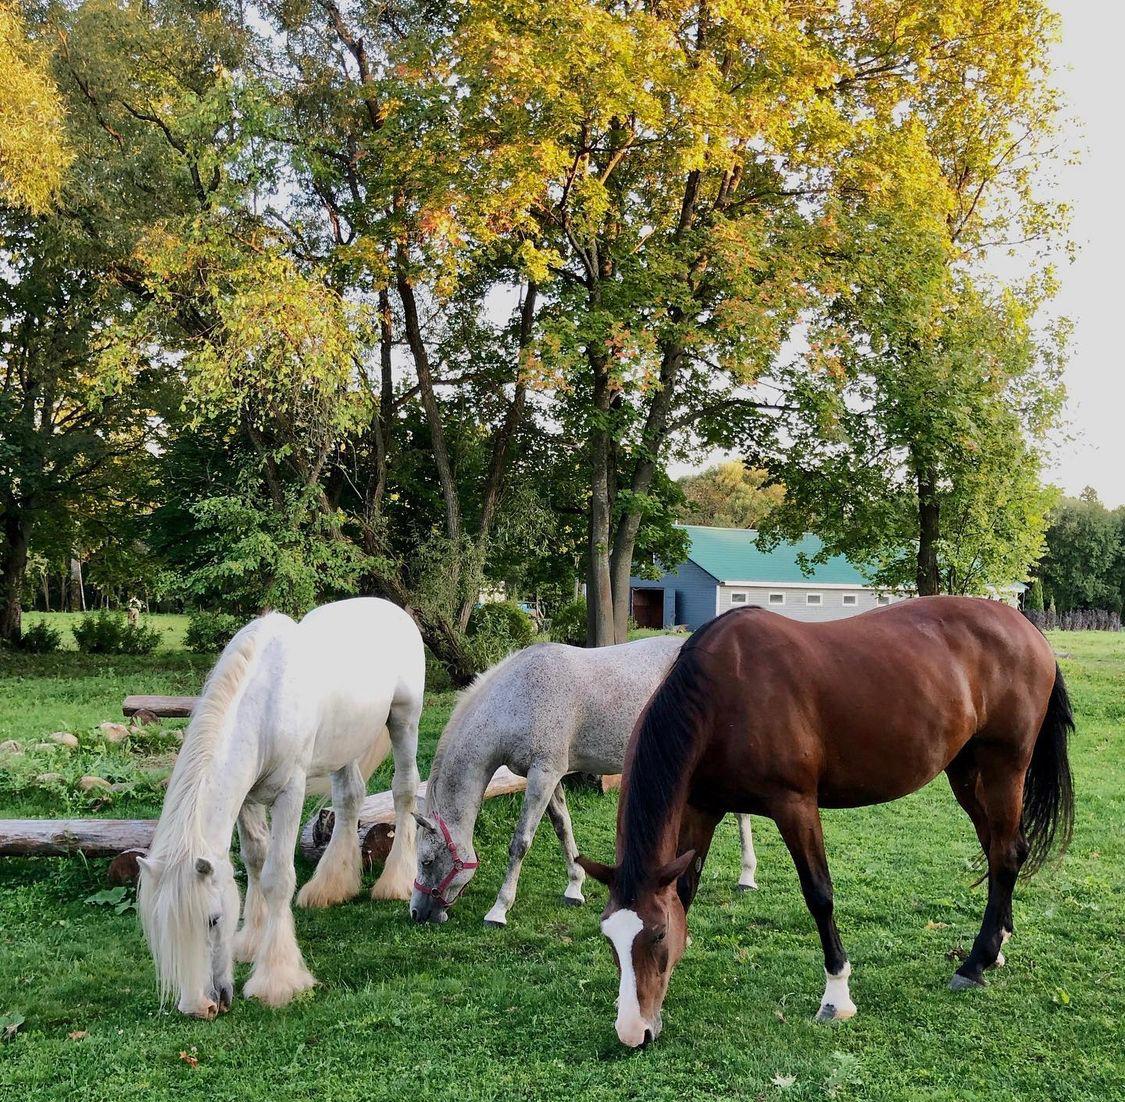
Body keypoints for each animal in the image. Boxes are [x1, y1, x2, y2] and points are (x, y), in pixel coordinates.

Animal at [136, 598, 423, 1021]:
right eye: (161, 928)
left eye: (213, 920)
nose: (199, 1007)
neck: (264, 705)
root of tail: (391, 608)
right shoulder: (247, 799)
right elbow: (255, 860)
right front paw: (252, 942)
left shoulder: (290, 792)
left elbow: (276, 878)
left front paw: (277, 979)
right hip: (343, 747)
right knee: (349, 799)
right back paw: (331, 886)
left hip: (404, 719)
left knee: (404, 793)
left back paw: (395, 881)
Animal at [409, 638, 760, 931]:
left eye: (427, 860)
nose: (416, 912)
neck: (519, 697)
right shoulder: (548, 776)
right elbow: (562, 827)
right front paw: (575, 887)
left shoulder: (543, 773)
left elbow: (520, 842)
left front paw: (499, 909)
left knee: (741, 814)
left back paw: (746, 876)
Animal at [576, 598, 1075, 1048]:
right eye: (608, 937)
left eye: (657, 934)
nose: (633, 1034)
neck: (725, 693)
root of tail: (1027, 629)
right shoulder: (701, 810)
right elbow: (685, 892)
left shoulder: (795, 806)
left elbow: (819, 895)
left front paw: (836, 997)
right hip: (966, 772)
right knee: (1002, 851)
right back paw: (997, 946)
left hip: (1004, 767)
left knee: (1005, 853)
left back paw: (975, 962)